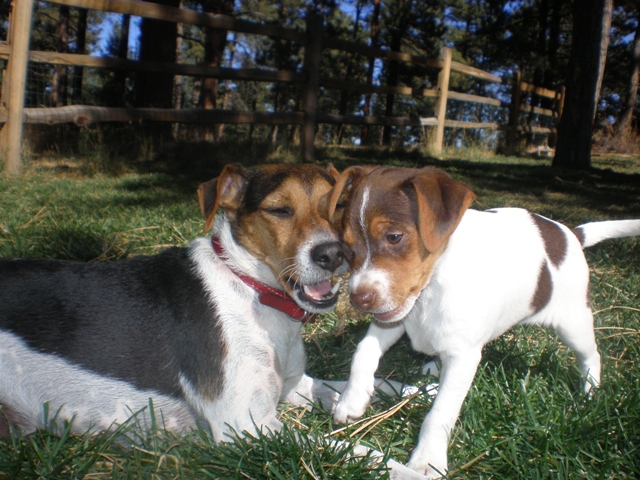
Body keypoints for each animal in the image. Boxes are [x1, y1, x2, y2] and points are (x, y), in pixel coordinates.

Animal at [328, 165, 640, 476]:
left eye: (394, 237)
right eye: (347, 248)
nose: (358, 299)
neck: (431, 287)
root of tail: (571, 233)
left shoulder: (462, 356)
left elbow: (439, 413)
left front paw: (427, 460)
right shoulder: (394, 318)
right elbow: (363, 352)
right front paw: (352, 398)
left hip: (573, 322)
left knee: (591, 356)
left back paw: (590, 393)